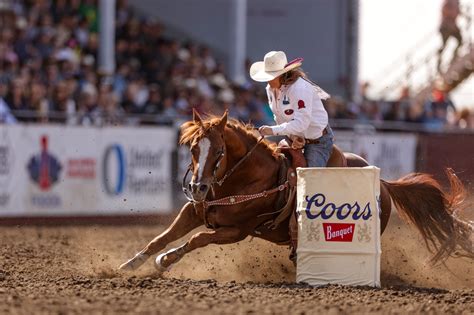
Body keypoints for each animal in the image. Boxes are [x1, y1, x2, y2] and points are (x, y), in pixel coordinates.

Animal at [117, 111, 470, 274]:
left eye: (219, 152)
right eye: (192, 148)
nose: (197, 187)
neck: (244, 179)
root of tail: (385, 183)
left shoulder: (236, 230)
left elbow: (196, 240)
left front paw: (165, 262)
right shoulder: (193, 210)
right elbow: (160, 237)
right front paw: (128, 266)